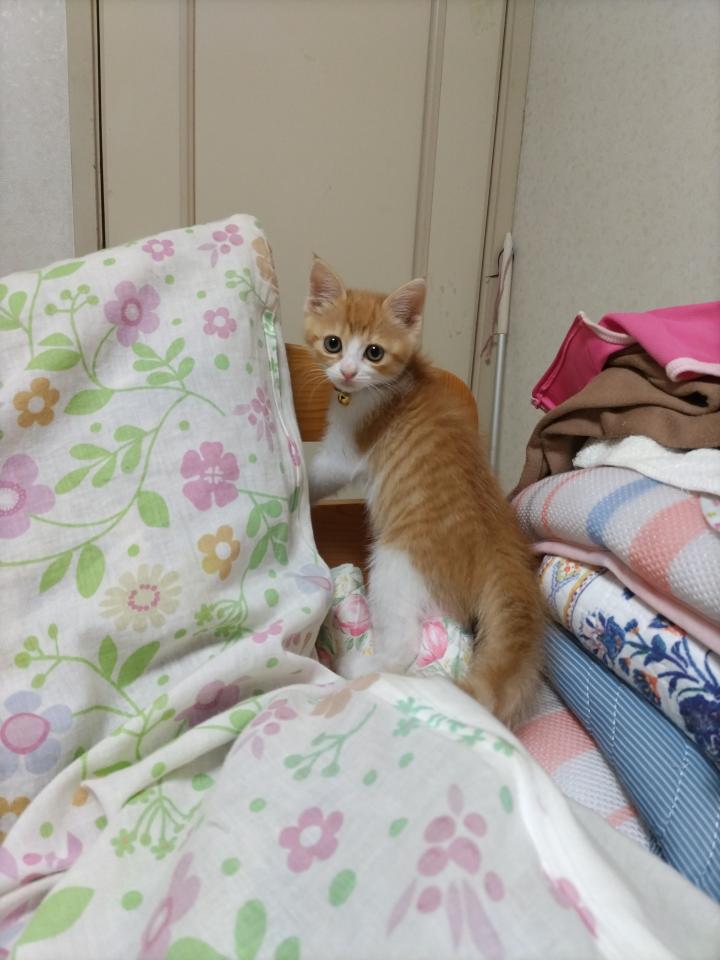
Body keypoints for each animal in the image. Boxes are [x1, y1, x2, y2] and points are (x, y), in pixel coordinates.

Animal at [304, 256, 544, 727]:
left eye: (374, 352)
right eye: (333, 343)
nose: (347, 372)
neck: (384, 386)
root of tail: (500, 547)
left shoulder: (347, 450)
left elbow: (321, 470)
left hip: (397, 564)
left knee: (402, 648)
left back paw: (356, 667)